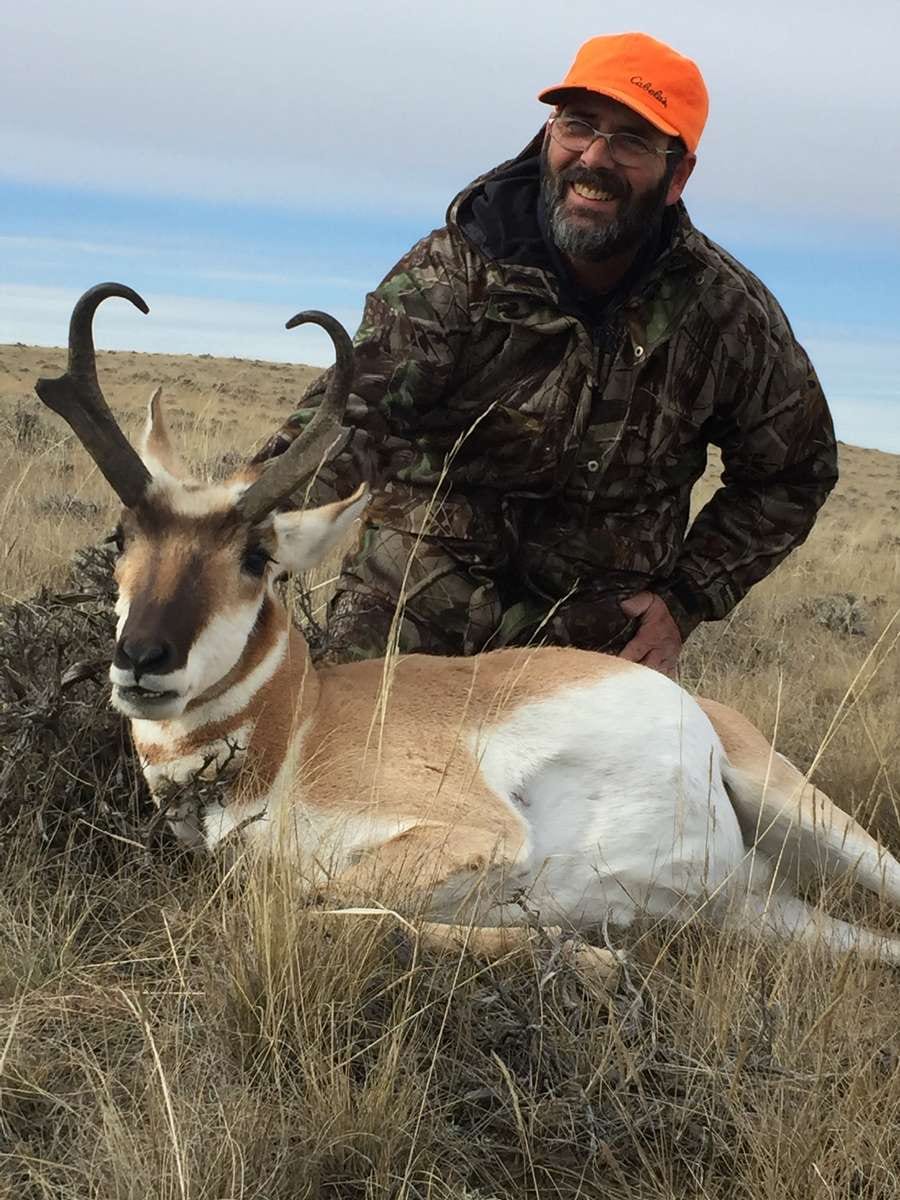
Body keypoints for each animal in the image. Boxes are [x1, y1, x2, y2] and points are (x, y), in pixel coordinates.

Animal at [36, 282, 900, 983]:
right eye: (122, 537)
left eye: (256, 557)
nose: (142, 660)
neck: (299, 722)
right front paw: (582, 952)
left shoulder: (477, 832)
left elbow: (312, 900)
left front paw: (588, 959)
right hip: (770, 914)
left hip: (811, 816)